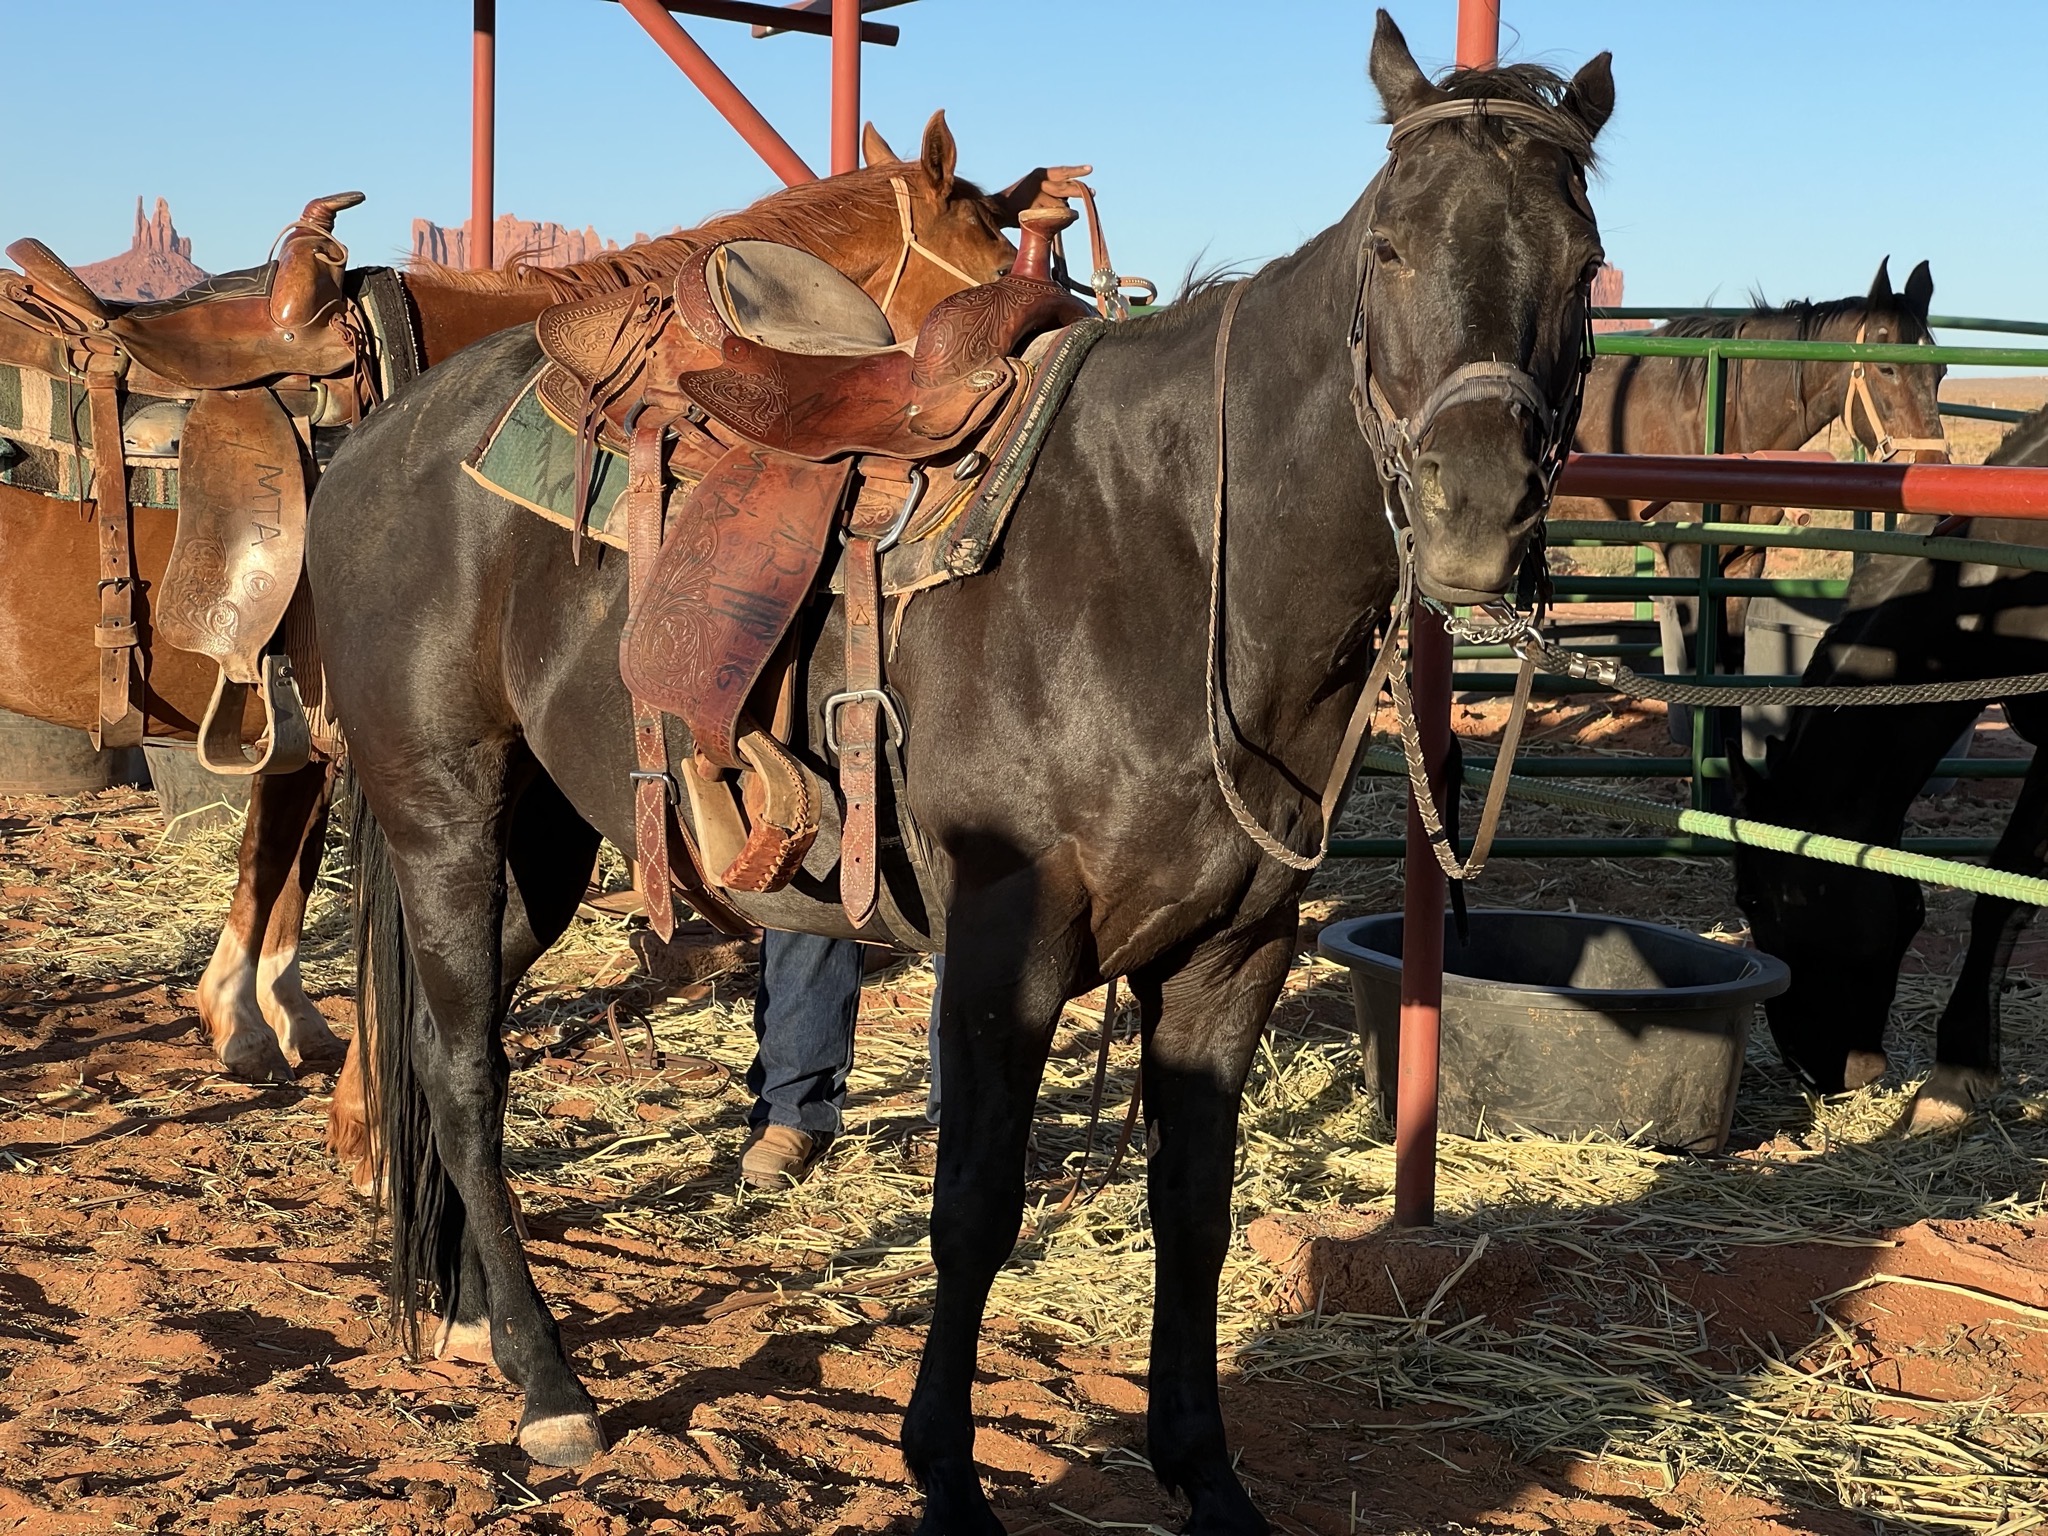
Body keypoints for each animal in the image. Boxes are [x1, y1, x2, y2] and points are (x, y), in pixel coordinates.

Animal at [0, 111, 1044, 1128]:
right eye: (994, 268)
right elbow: (308, 877)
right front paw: (333, 1088)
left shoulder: (307, 721)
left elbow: (278, 861)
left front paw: (267, 1025)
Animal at [307, 12, 1613, 1529]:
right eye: (1391, 246)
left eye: (1583, 263)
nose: (1473, 514)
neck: (1172, 554)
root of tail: (375, 439)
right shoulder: (1009, 944)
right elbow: (975, 1207)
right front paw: (944, 1470)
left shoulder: (1229, 959)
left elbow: (1195, 1209)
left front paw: (1203, 1470)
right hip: (442, 815)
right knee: (461, 1073)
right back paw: (549, 1386)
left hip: (542, 846)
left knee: (448, 1055)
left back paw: (470, 1314)